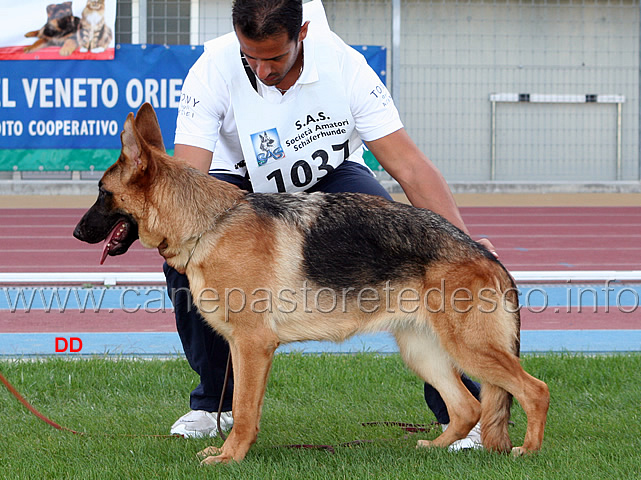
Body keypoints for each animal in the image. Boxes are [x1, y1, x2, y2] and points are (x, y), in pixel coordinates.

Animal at [72, 103, 548, 464]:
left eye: (101, 193)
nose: (75, 233)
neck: (210, 223)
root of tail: (488, 257)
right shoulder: (242, 349)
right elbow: (241, 406)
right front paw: (231, 451)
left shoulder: (253, 346)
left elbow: (243, 410)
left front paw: (230, 457)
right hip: (423, 351)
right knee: (468, 407)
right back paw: (436, 447)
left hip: (469, 348)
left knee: (533, 390)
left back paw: (528, 450)